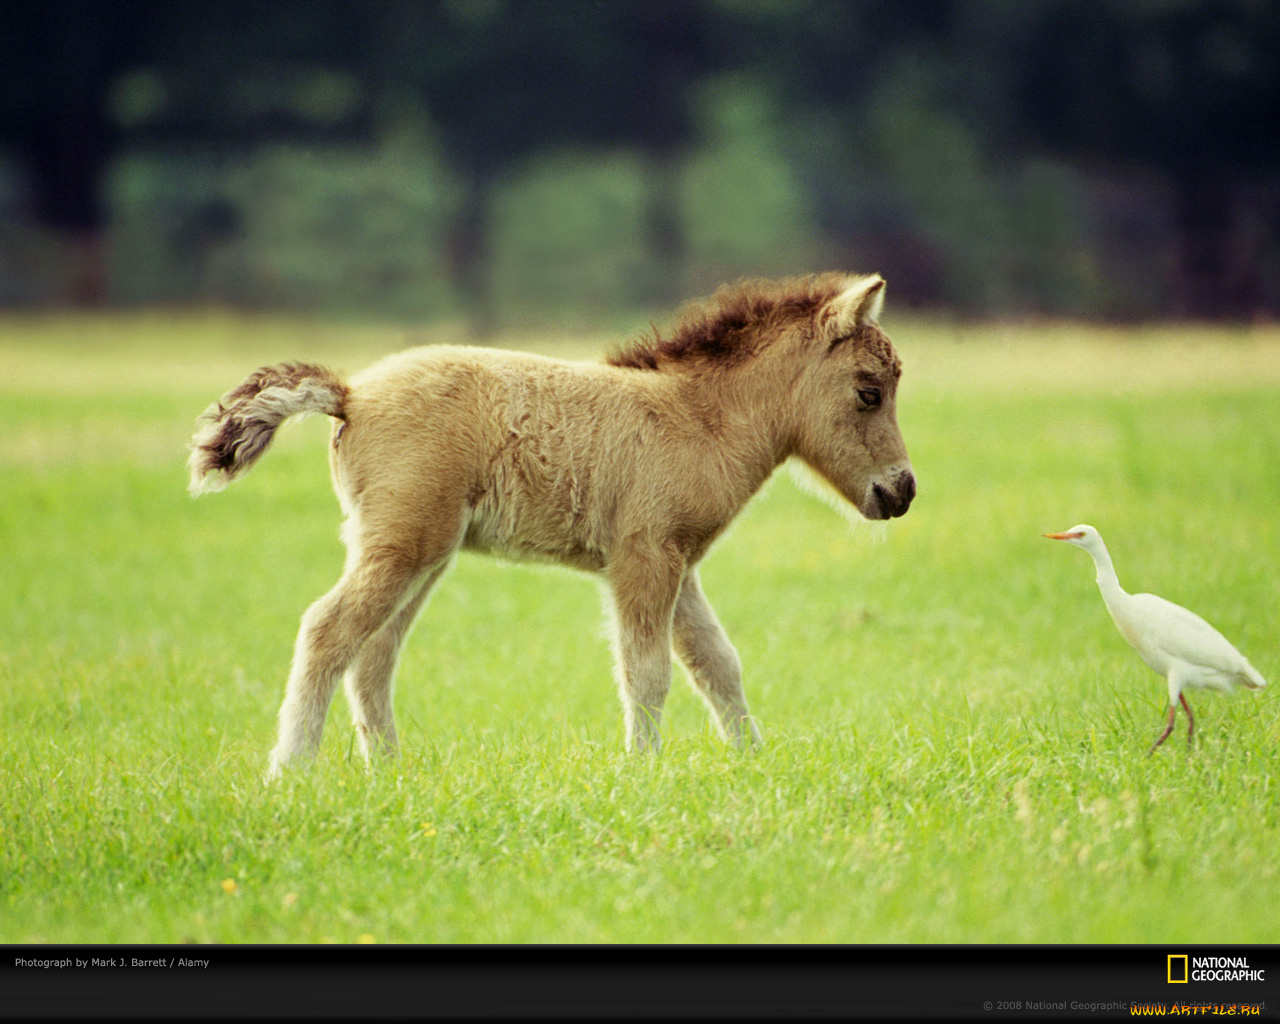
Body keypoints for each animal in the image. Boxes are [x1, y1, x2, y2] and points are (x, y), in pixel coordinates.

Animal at [186, 271, 911, 778]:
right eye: (868, 390)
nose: (901, 492)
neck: (698, 419)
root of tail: (351, 396)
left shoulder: (678, 564)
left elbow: (717, 664)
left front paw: (753, 762)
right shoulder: (644, 557)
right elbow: (647, 672)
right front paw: (643, 773)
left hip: (422, 554)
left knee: (374, 655)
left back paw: (388, 772)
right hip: (401, 547)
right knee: (328, 630)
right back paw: (292, 771)